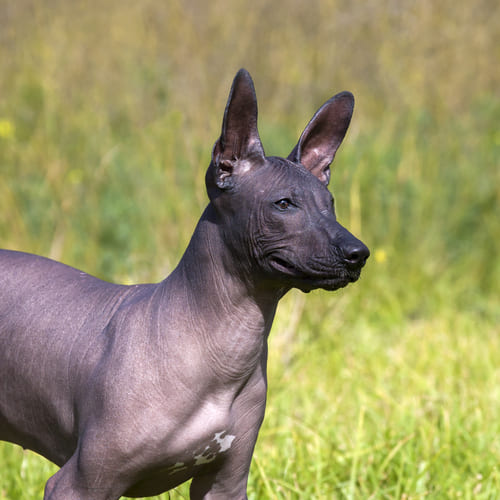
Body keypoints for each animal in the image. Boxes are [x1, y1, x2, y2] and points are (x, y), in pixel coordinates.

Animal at [0, 70, 368, 500]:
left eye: (330, 205)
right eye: (283, 204)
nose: (358, 253)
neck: (225, 349)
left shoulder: (225, 484)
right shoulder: (78, 484)